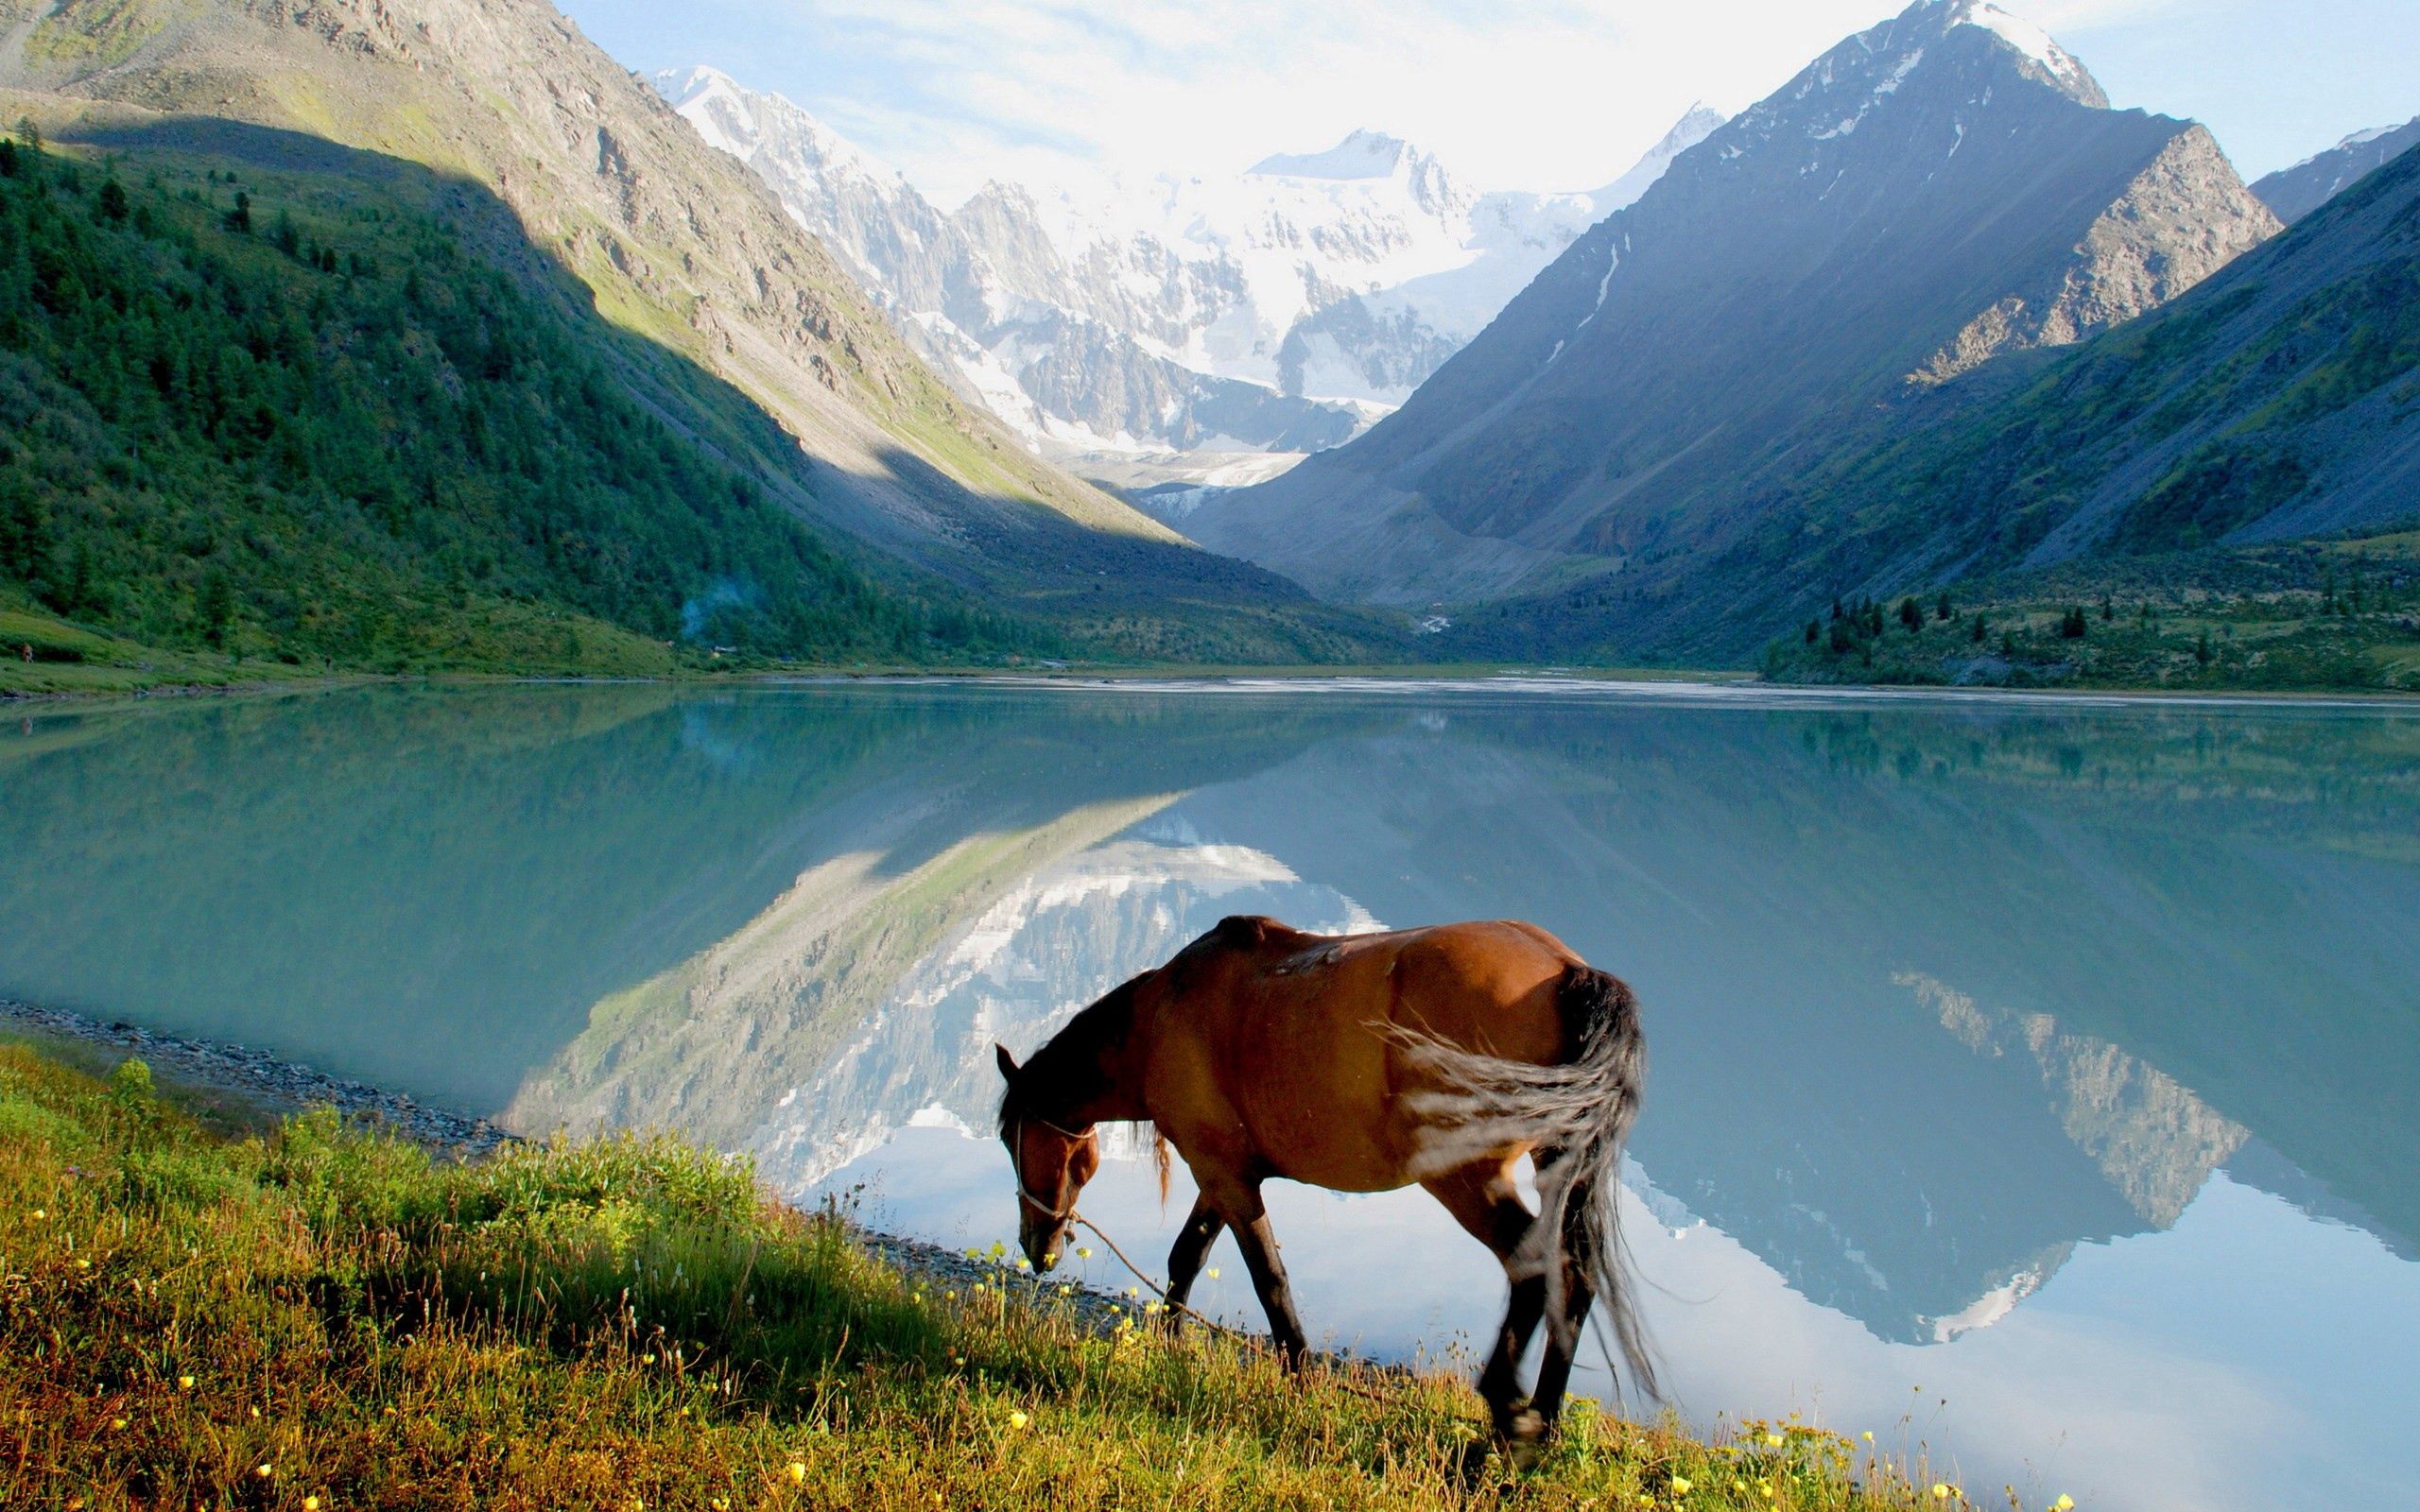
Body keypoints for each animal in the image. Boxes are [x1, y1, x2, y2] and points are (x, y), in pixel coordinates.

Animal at [992, 909, 1655, 1441]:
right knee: (1574, 1275)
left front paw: (1299, 1378)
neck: (1161, 1018)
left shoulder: (1225, 1176)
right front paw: (1168, 1344)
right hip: (1553, 1164)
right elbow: (1188, 1256)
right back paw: (1541, 1426)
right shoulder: (1222, 1173)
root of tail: (1566, 972)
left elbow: (1268, 1278)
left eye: (1007, 1137)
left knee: (1535, 1268)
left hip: (1466, 1178)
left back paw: (1503, 1423)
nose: (1038, 1247)